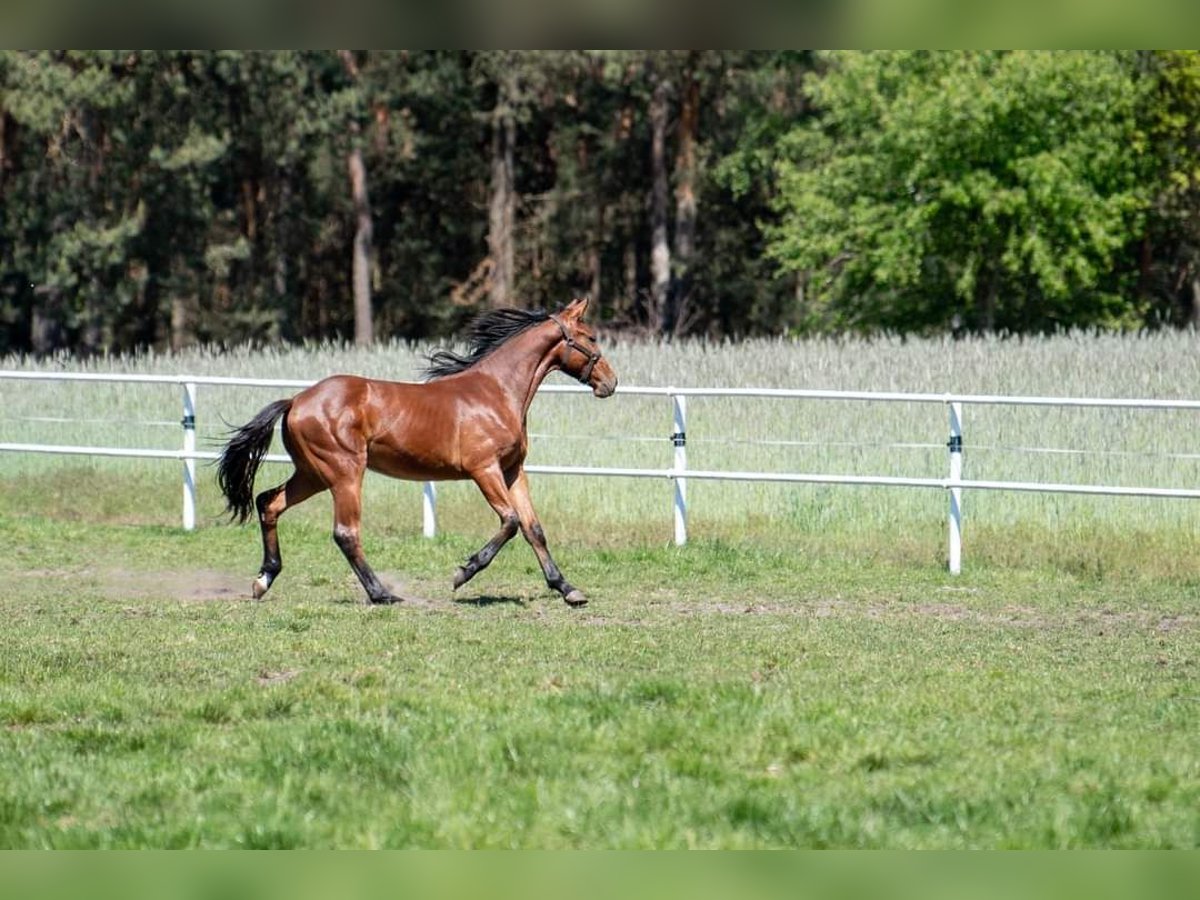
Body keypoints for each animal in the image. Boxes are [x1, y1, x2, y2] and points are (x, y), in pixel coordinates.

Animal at [214, 301, 619, 607]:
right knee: (346, 532)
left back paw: (263, 580)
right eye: (590, 338)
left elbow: (534, 529)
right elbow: (510, 522)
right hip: (344, 472)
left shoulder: (512, 471)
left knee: (269, 503)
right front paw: (461, 574)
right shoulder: (484, 469)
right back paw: (382, 594)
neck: (497, 392)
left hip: (312, 474)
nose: (611, 383)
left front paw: (568, 589)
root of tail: (296, 400)